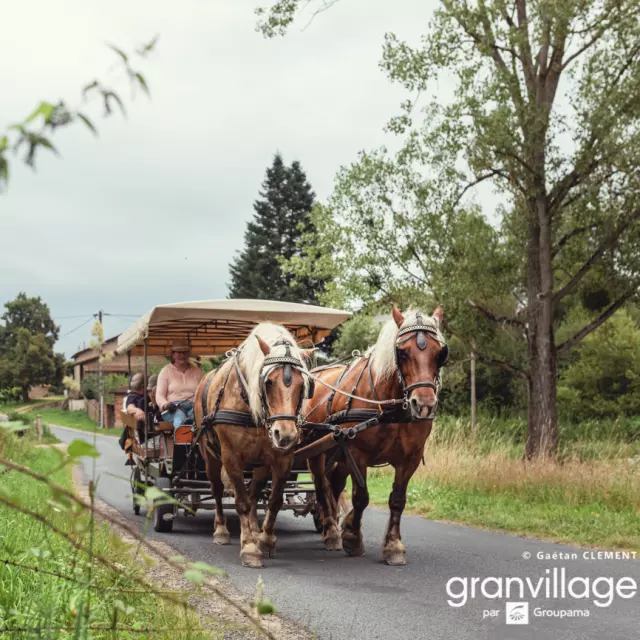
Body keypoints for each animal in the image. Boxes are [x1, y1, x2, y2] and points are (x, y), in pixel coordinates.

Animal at [195, 322, 316, 568]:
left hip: (260, 463)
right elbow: (241, 501)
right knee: (217, 489)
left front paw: (265, 540)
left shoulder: (283, 459)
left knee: (254, 493)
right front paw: (250, 548)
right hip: (210, 456)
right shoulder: (231, 458)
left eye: (303, 385)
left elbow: (274, 501)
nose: (285, 434)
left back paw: (252, 529)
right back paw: (222, 530)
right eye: (268, 382)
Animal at [304, 304, 444, 564]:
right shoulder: (358, 453)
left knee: (334, 484)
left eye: (440, 353)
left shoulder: (410, 458)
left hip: (339, 451)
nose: (424, 405)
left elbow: (398, 500)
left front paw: (393, 546)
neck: (389, 406)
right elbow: (361, 497)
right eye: (402, 352)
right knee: (321, 486)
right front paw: (352, 536)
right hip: (317, 451)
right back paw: (331, 531)